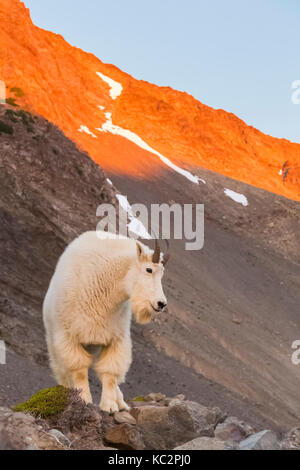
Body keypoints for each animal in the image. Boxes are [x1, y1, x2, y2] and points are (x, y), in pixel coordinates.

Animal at [42, 230, 169, 412]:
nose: (161, 304)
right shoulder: (69, 337)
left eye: (162, 273)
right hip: (55, 342)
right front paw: (84, 400)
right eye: (149, 269)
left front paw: (110, 406)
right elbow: (79, 371)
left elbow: (110, 372)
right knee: (62, 371)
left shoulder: (115, 338)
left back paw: (121, 402)